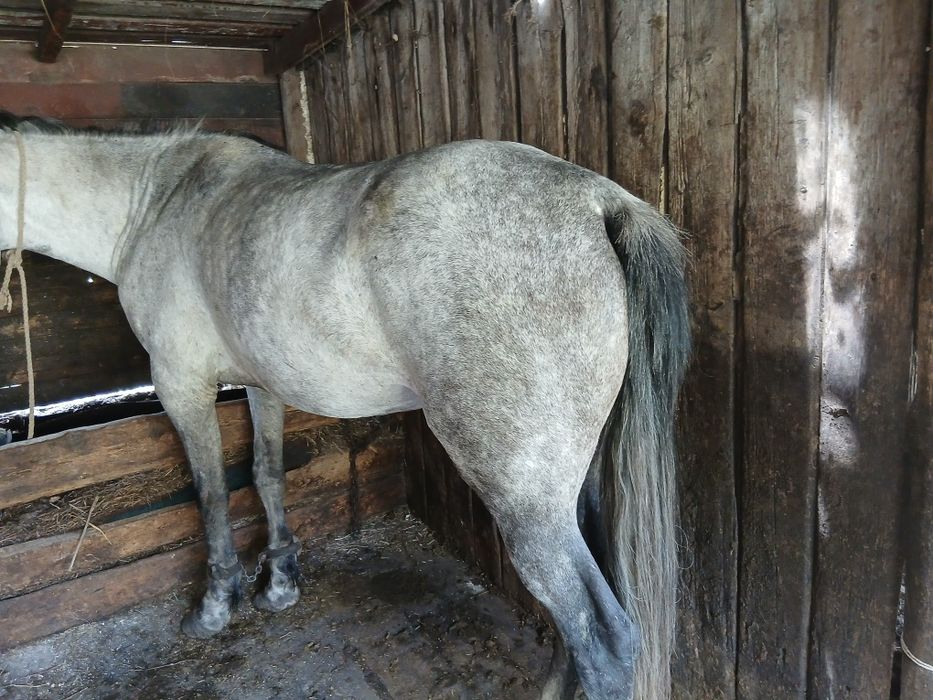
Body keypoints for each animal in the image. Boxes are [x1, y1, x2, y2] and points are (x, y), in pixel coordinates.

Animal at [0, 115, 689, 700]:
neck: (158, 200)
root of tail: (599, 199)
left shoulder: (180, 384)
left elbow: (211, 492)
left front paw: (217, 603)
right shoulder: (261, 384)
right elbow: (266, 474)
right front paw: (279, 582)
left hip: (527, 501)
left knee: (602, 637)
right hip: (574, 486)